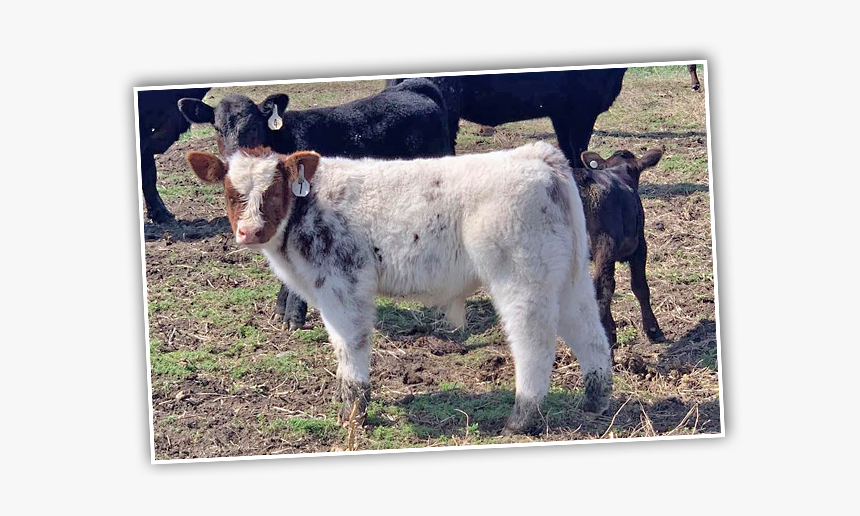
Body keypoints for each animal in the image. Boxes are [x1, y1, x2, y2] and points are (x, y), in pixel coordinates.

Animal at [185, 141, 613, 435]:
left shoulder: (344, 286)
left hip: (522, 281)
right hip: (569, 280)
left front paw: (352, 417)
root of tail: (536, 155)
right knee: (591, 336)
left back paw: (520, 420)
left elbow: (350, 349)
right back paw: (595, 402)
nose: (250, 232)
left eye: (275, 190)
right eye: (230, 193)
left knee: (534, 345)